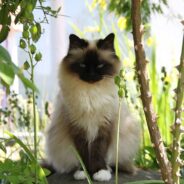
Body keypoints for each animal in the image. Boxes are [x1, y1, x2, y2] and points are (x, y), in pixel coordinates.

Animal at [45, 33, 140, 181]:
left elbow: (98, 152)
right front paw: (84, 172)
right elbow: (83, 154)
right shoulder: (78, 128)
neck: (90, 93)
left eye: (100, 65)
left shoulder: (103, 127)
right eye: (83, 65)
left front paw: (100, 172)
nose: (91, 75)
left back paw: (108, 169)